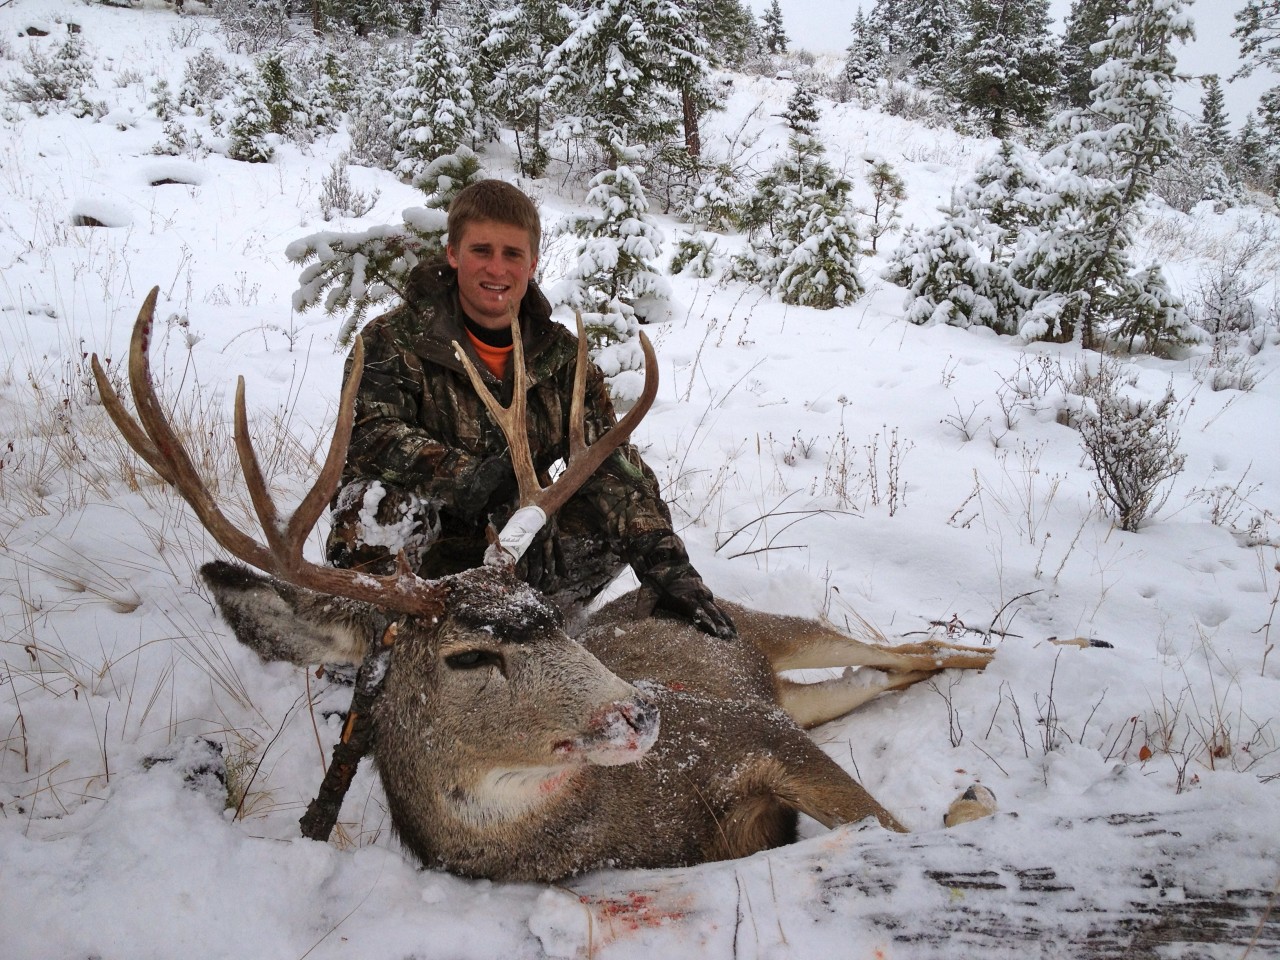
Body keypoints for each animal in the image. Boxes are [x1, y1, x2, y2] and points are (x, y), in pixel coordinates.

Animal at [92, 287, 999, 884]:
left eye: (554, 621)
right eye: (467, 657)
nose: (639, 711)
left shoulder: (750, 727)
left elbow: (887, 825)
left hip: (762, 632)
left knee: (907, 646)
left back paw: (989, 667)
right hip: (799, 692)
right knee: (882, 670)